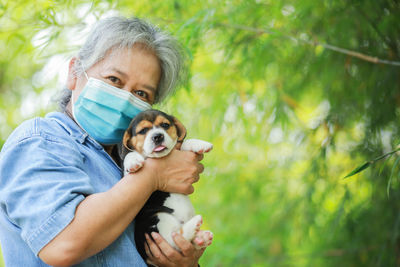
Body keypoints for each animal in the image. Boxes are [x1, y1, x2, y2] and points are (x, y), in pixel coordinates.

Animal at [120, 110, 214, 262]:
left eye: (165, 125)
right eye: (143, 130)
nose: (158, 136)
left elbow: (183, 143)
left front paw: (199, 144)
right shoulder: (128, 178)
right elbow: (131, 155)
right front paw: (132, 161)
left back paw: (201, 238)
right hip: (156, 219)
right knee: (175, 239)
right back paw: (194, 226)